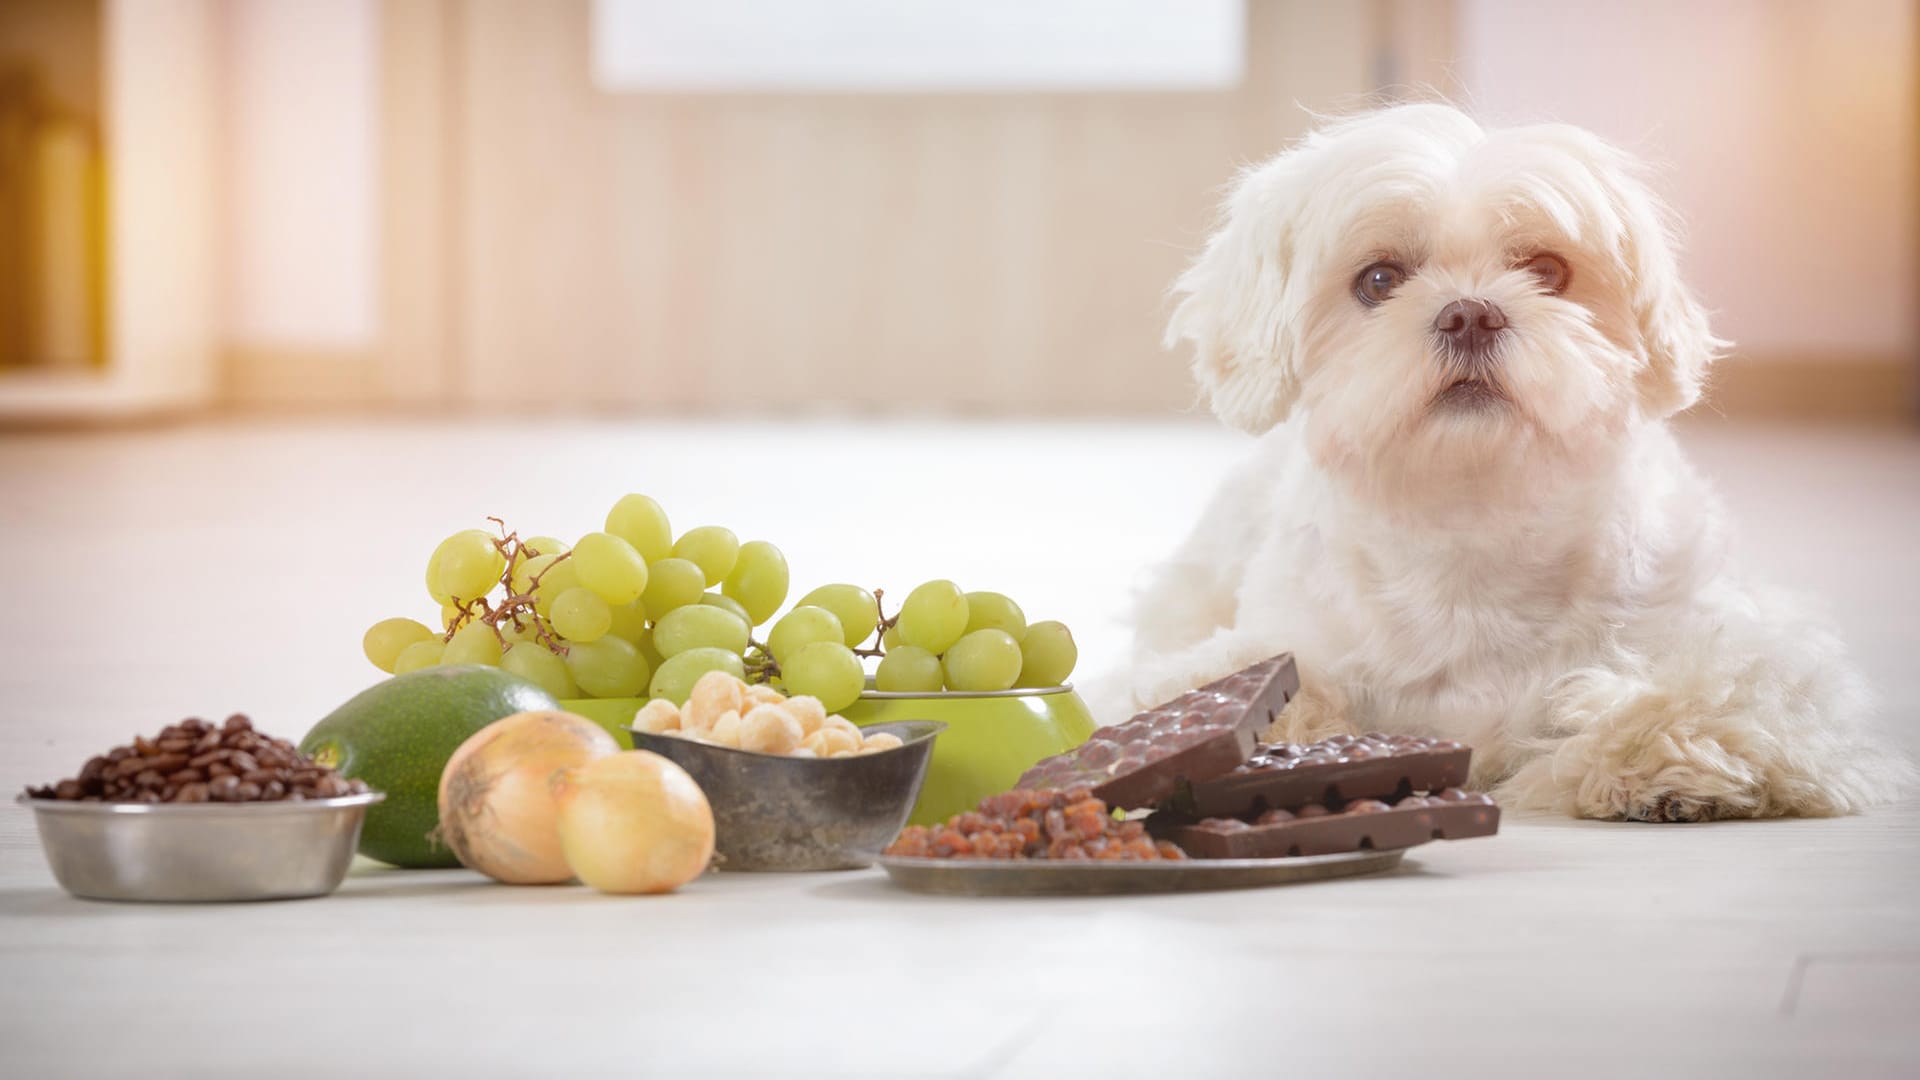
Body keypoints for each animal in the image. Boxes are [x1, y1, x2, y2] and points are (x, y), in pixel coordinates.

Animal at [1121, 105, 1904, 818]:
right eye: (1378, 280)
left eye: (1548, 269)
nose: (1470, 313)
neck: (1473, 520)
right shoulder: (1268, 644)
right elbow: (1256, 692)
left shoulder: (1751, 649)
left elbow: (1717, 689)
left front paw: (1661, 763)